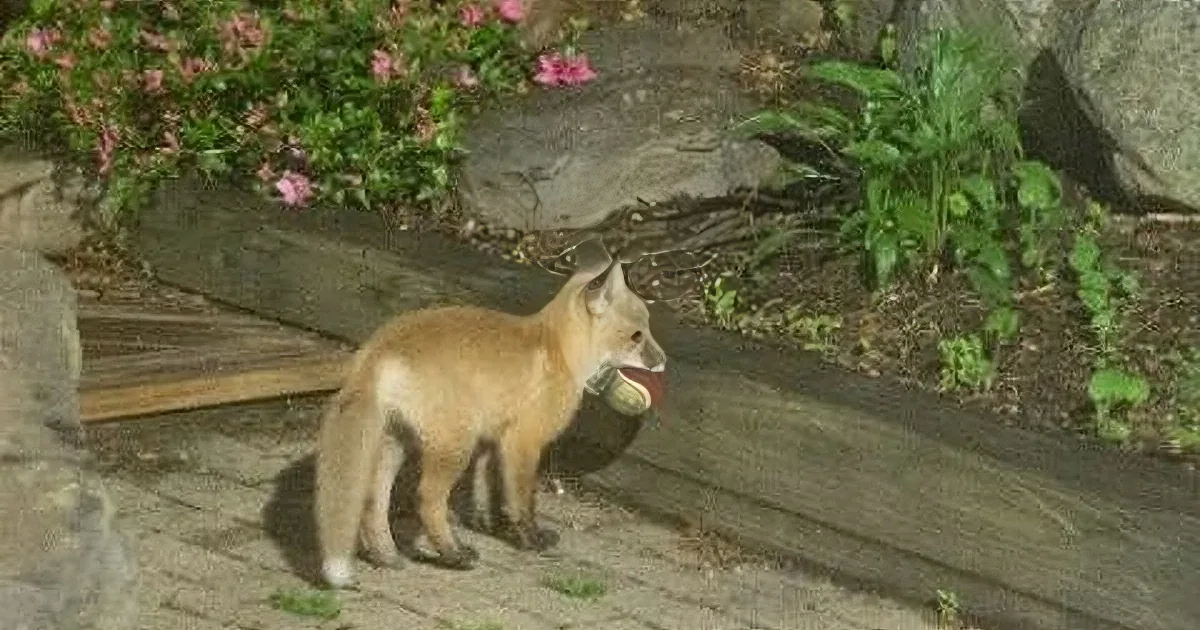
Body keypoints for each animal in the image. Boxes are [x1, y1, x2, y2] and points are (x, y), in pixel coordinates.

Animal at [313, 238, 667, 589]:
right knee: (427, 499)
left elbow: (487, 492)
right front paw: (530, 539)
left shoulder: (491, 440)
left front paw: (488, 525)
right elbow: (521, 499)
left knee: (373, 500)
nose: (663, 361)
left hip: (396, 442)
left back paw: (386, 556)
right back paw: (453, 554)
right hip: (454, 446)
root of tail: (378, 348)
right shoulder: (523, 440)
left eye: (649, 328)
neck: (560, 349)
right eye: (637, 336)